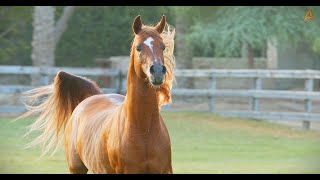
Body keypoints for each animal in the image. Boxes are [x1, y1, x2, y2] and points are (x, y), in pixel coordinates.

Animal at [18, 16, 175, 174]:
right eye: (139, 47)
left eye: (163, 47)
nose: (157, 72)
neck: (144, 131)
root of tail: (91, 97)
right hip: (77, 169)